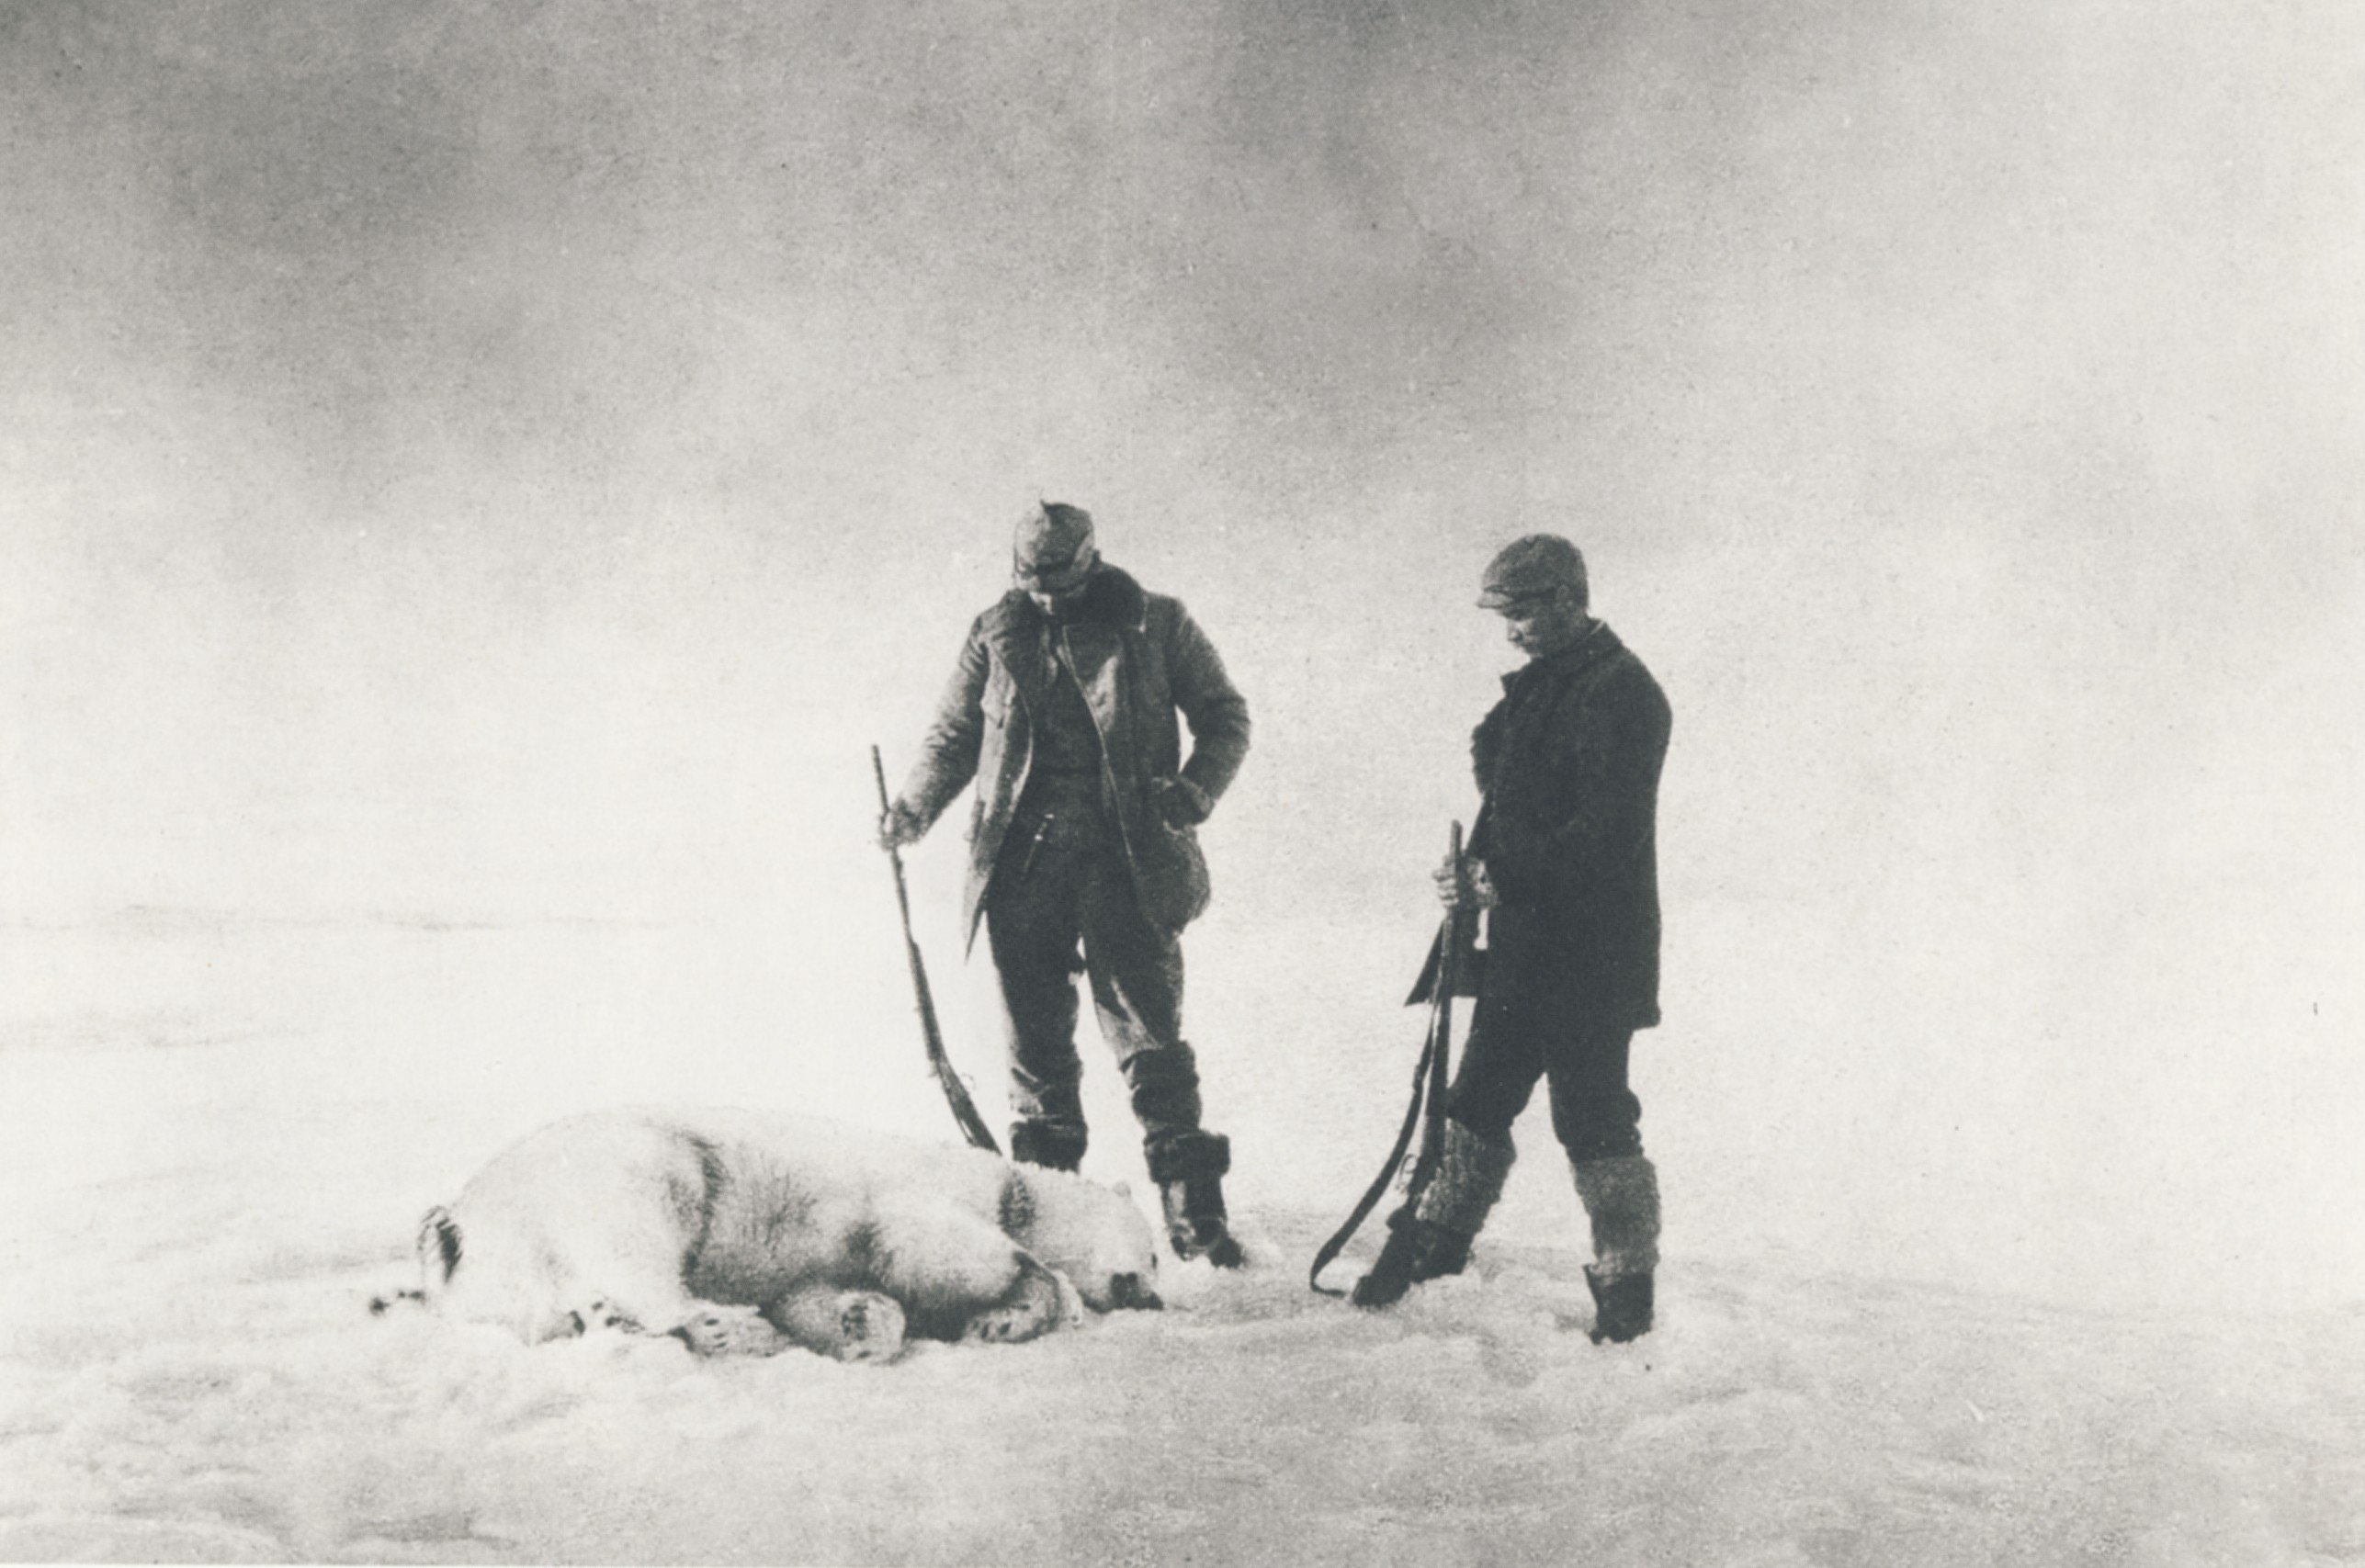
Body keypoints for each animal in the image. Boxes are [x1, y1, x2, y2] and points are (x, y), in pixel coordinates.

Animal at [380, 1101, 1163, 1362]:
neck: (1007, 1183)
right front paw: (1017, 1307)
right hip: (637, 1164)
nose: (1153, 1296)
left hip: (510, 1265)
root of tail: (457, 1219)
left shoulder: (814, 1264)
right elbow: (936, 1242)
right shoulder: (923, 1193)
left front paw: (862, 1323)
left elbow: (819, 1291)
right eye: (1156, 1252)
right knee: (640, 1245)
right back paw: (726, 1325)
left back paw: (615, 1321)